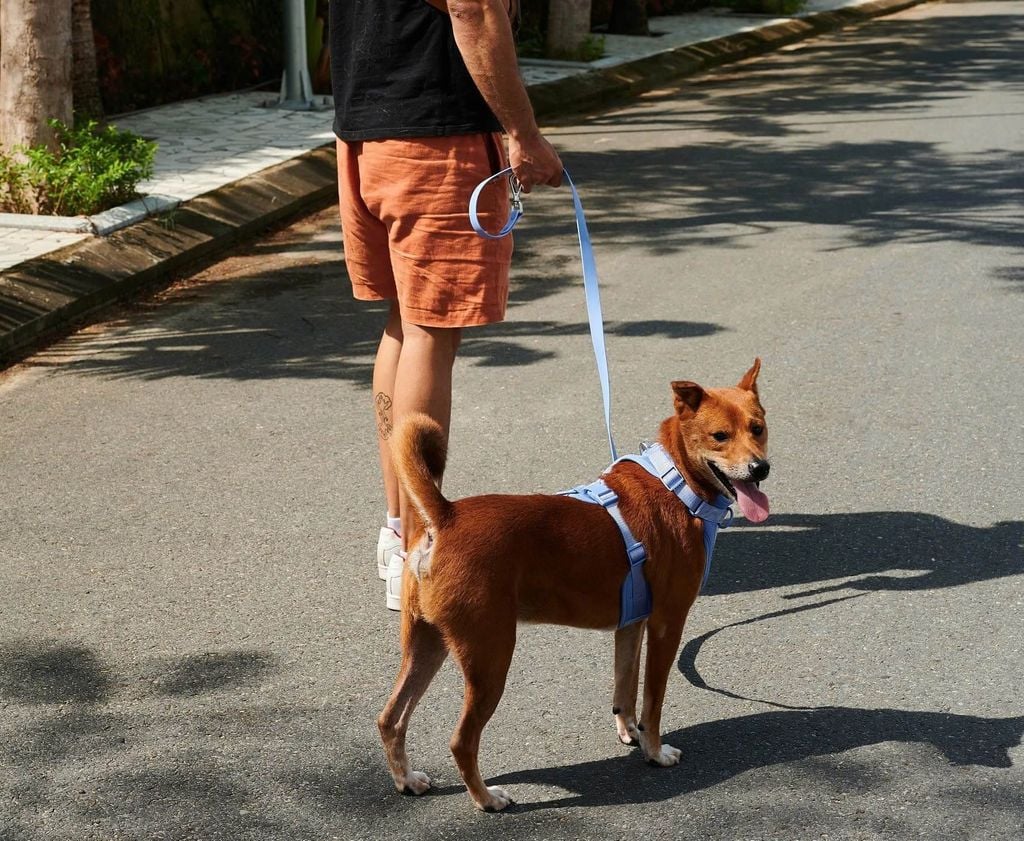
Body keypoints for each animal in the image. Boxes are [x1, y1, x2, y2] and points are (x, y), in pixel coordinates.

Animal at [376, 358, 770, 811]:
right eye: (720, 436)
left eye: (758, 428)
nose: (760, 468)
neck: (678, 483)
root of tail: (445, 516)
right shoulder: (667, 624)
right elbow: (652, 701)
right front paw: (655, 751)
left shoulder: (631, 624)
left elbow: (625, 688)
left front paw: (630, 733)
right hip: (489, 656)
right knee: (461, 740)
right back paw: (486, 798)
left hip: (426, 643)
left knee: (390, 718)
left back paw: (406, 779)